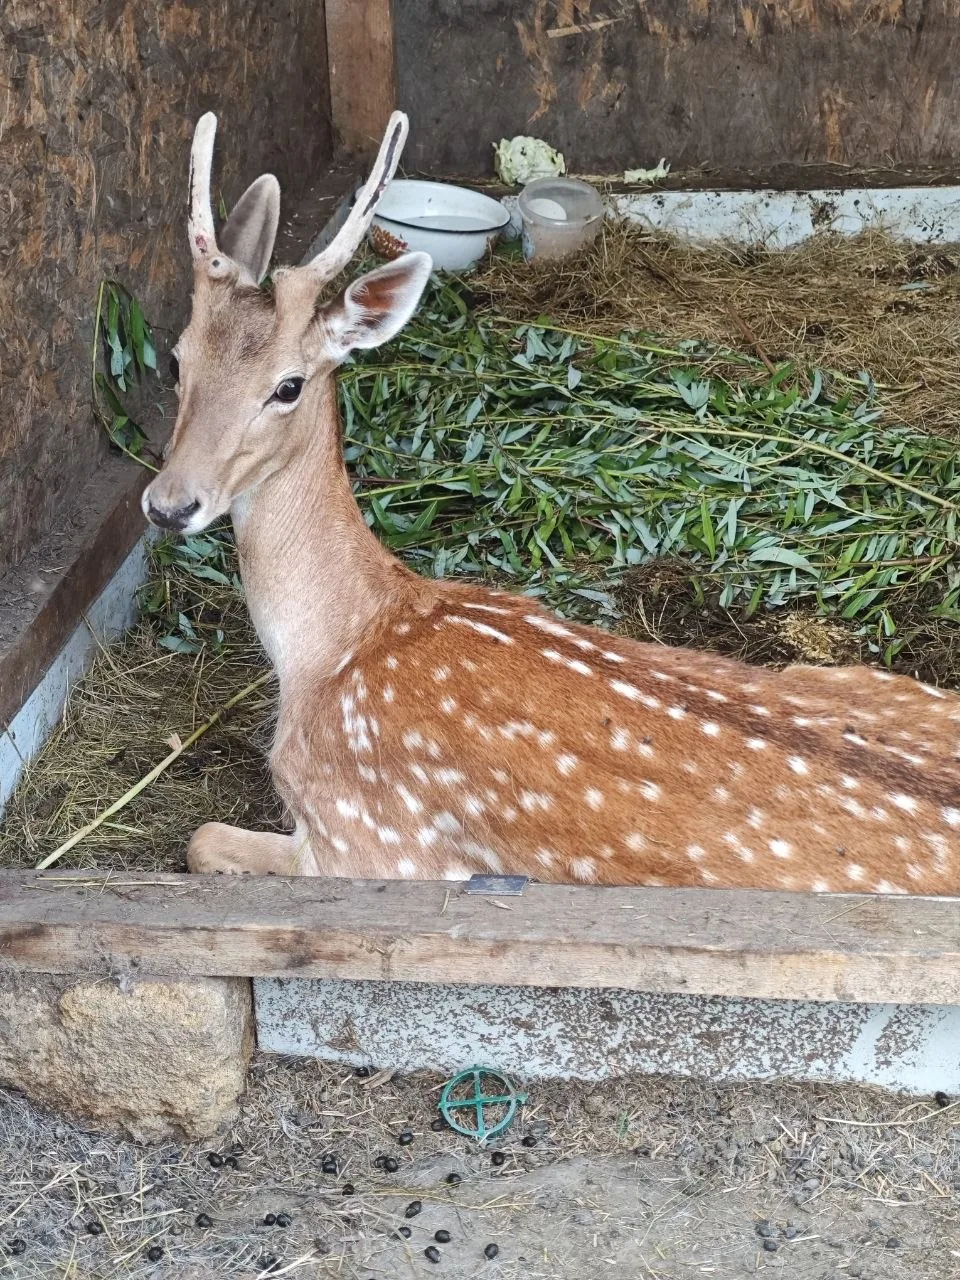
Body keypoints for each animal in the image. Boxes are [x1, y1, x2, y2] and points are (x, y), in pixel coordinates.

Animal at [142, 110, 960, 896]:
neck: (332, 648)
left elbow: (202, 840)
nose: (169, 504)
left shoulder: (370, 842)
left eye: (288, 385)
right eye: (176, 359)